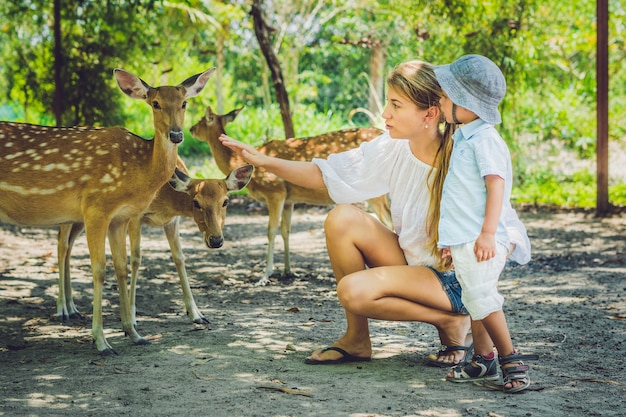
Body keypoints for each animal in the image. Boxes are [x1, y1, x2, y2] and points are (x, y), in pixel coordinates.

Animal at [0, 68, 214, 354]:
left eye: (184, 103)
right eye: (155, 103)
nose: (176, 135)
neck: (138, 173)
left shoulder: (120, 218)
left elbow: (121, 267)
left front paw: (133, 332)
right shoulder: (97, 207)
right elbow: (99, 270)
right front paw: (101, 340)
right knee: (62, 246)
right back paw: (65, 311)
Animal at [56, 160, 254, 332]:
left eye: (225, 201)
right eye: (196, 202)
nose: (216, 240)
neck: (165, 202)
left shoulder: (172, 221)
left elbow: (179, 258)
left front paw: (197, 314)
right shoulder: (134, 217)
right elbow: (136, 260)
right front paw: (132, 318)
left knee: (70, 245)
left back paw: (73, 308)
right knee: (62, 245)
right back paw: (62, 310)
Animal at [189, 105, 390, 284]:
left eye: (201, 120)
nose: (190, 129)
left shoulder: (275, 192)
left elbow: (271, 231)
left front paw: (265, 276)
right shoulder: (289, 199)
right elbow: (286, 231)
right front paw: (288, 271)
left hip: (376, 193)